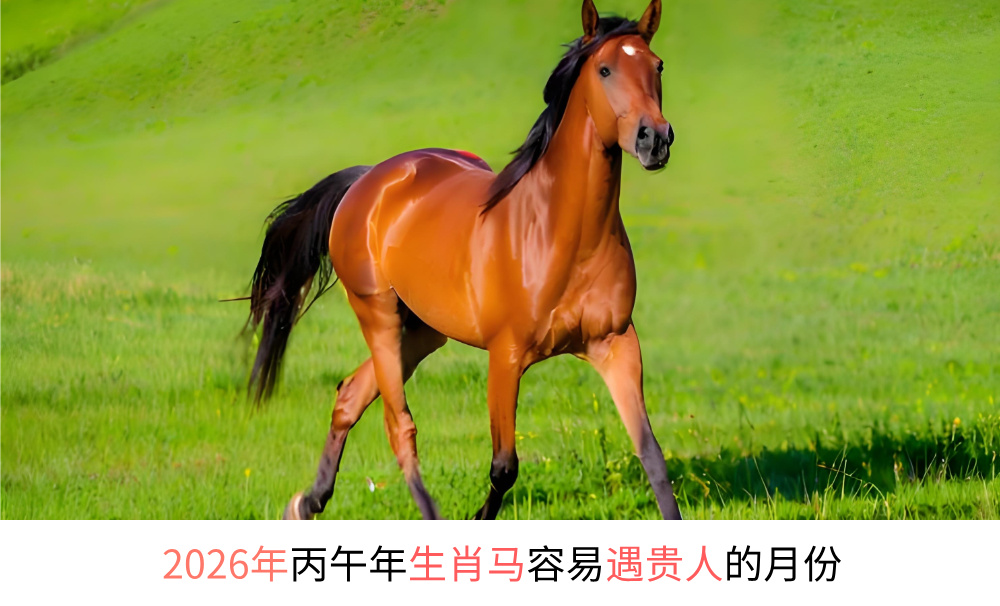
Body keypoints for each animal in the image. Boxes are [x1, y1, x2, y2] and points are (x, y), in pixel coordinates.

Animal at [246, 0, 681, 520]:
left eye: (657, 66)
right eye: (605, 69)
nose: (654, 140)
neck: (561, 236)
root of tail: (366, 180)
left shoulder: (616, 344)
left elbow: (651, 454)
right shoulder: (506, 355)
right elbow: (504, 466)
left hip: (422, 330)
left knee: (349, 396)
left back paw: (306, 503)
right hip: (378, 316)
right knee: (399, 425)